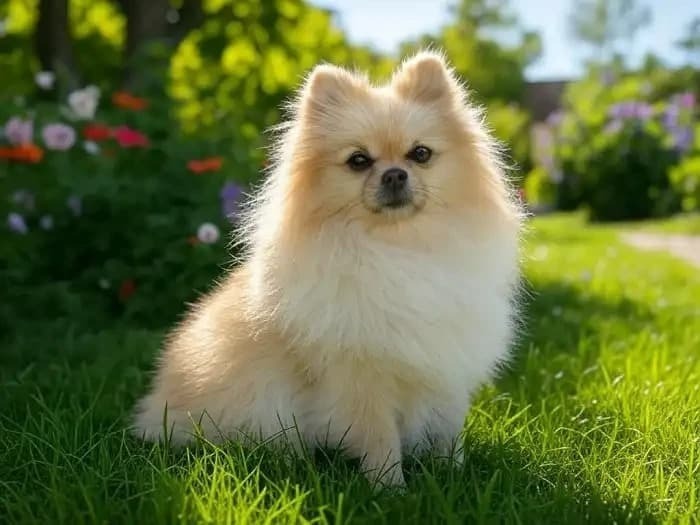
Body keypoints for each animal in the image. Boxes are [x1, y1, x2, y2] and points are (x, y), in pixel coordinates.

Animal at [134, 51, 524, 486]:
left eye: (420, 154)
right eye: (359, 161)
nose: (395, 174)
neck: (399, 248)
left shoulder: (447, 364)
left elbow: (448, 428)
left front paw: (453, 473)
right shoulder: (359, 375)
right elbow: (379, 436)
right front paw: (389, 486)